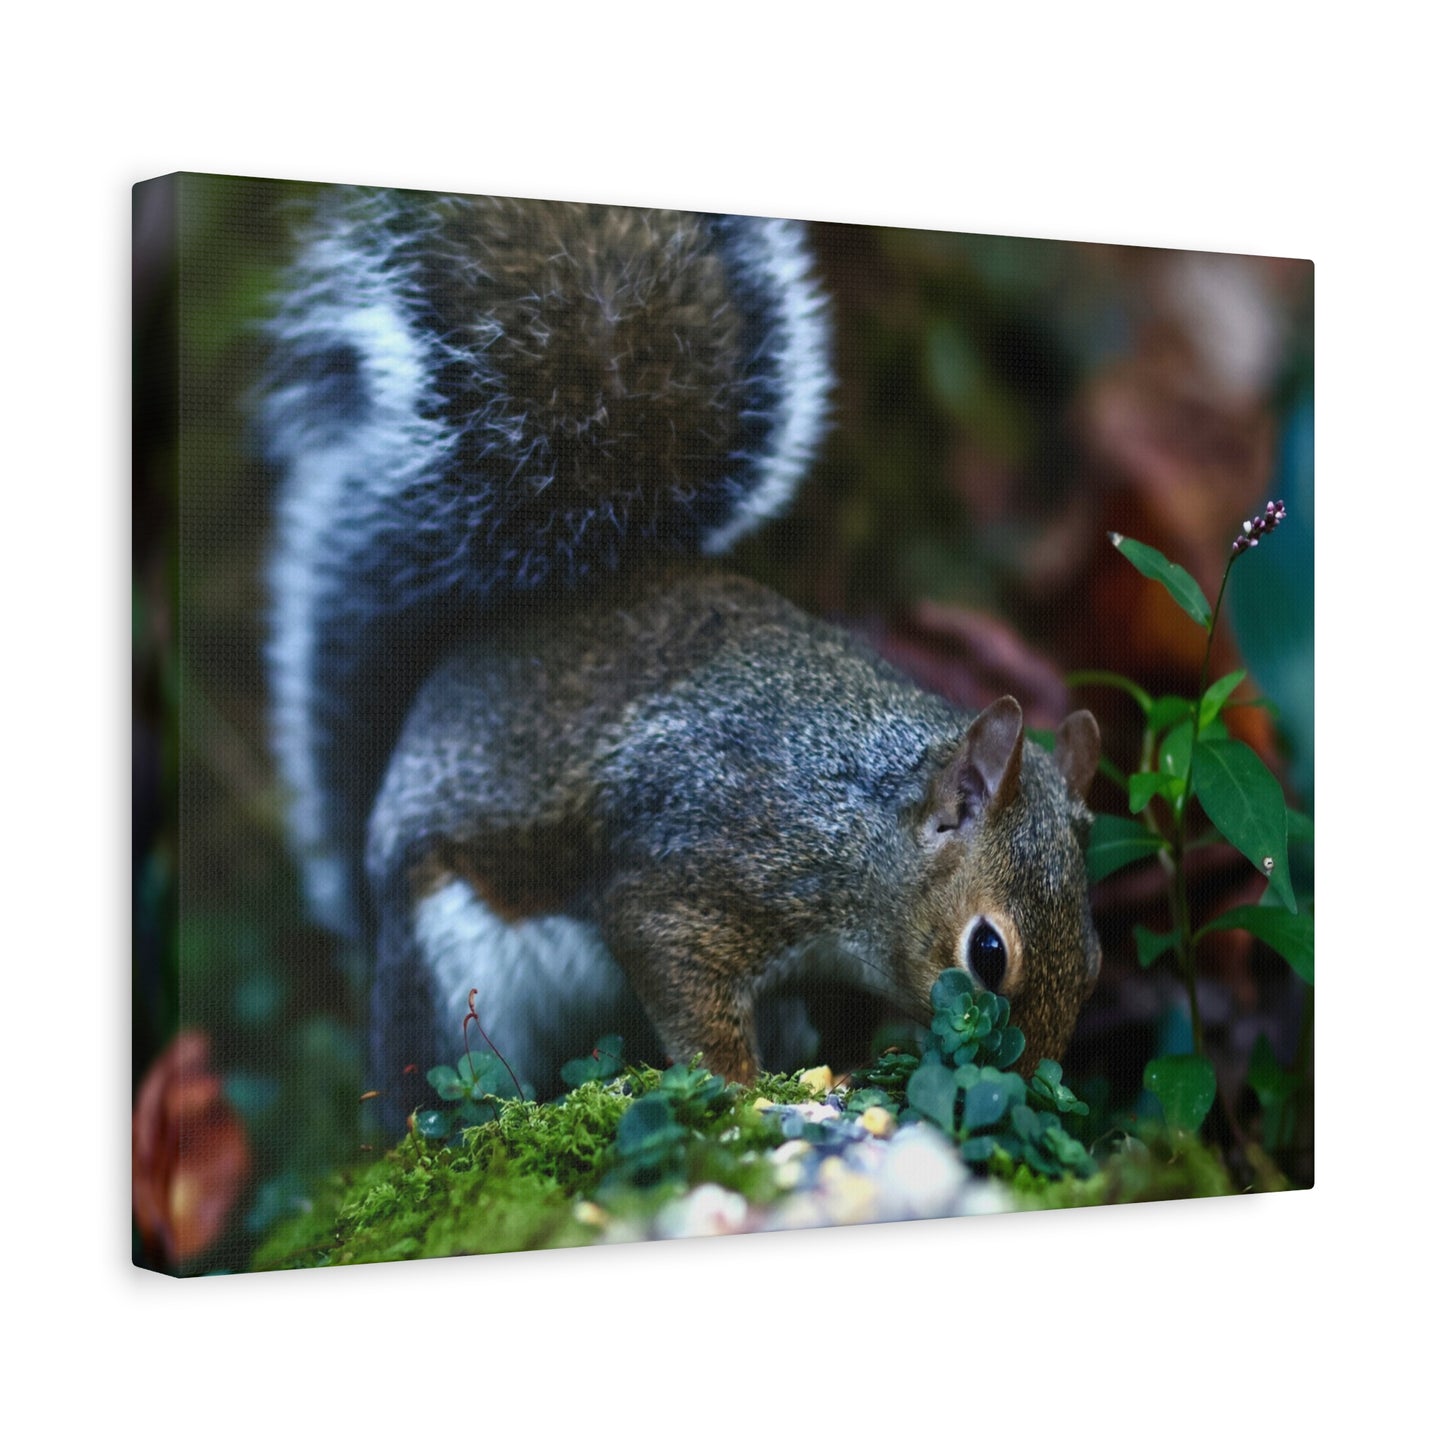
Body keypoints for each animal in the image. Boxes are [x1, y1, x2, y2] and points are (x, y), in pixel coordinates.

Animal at [262, 189, 1103, 1127]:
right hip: (452, 973)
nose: (1033, 1081)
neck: (862, 822)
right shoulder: (707, 864)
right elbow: (673, 966)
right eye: (988, 952)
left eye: (1095, 959)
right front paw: (738, 1086)